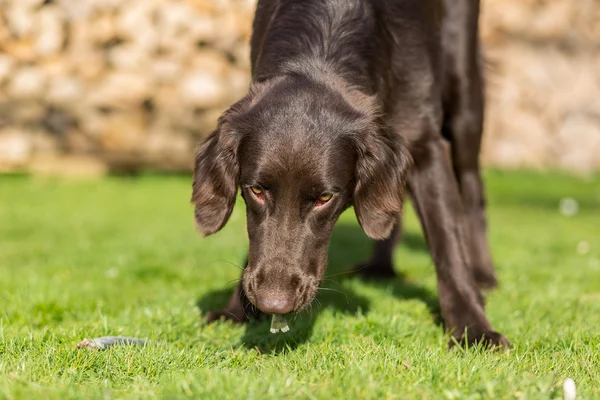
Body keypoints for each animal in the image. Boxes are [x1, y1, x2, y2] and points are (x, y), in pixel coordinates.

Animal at [191, 0, 506, 348]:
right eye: (257, 191)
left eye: (325, 198)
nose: (274, 303)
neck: (323, 45)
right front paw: (236, 310)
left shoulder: (425, 141)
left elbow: (448, 240)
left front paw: (472, 327)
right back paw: (381, 266)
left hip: (463, 89)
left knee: (472, 188)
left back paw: (483, 274)